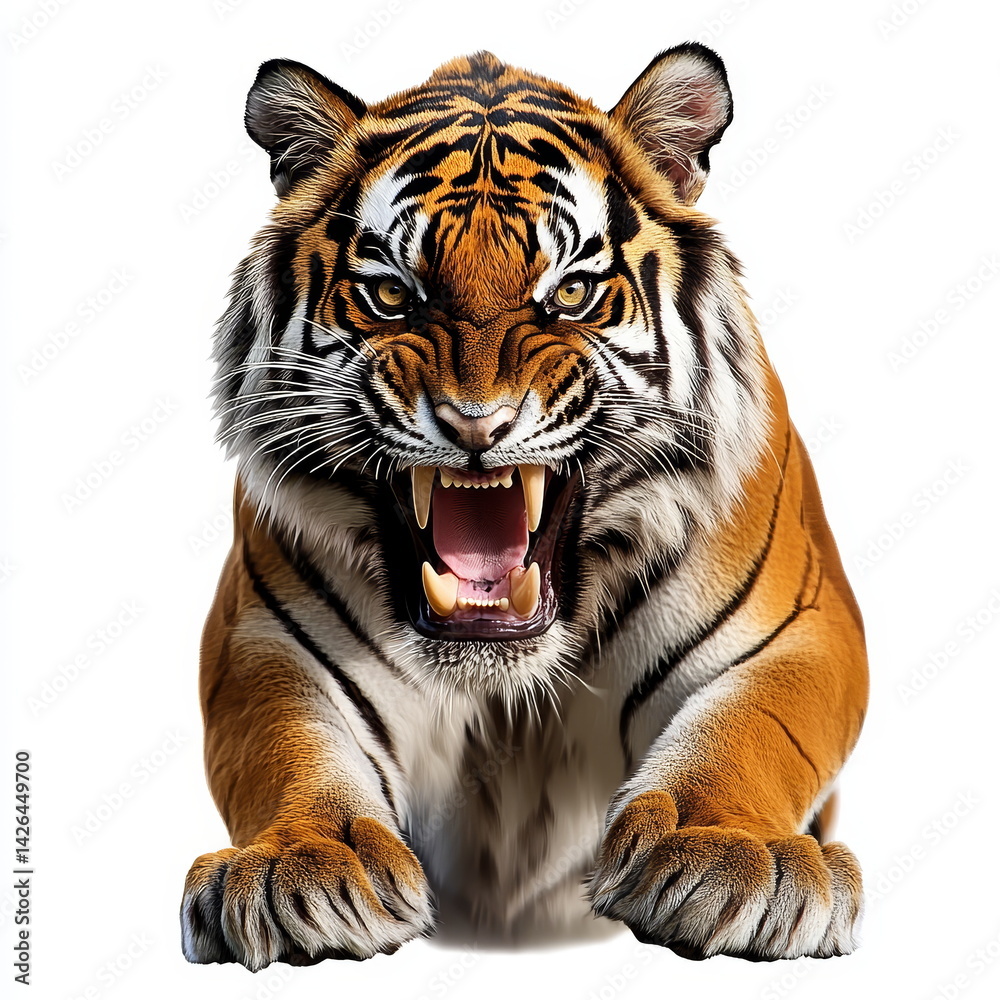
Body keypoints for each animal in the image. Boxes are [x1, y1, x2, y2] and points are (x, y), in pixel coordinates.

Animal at [180, 43, 869, 968]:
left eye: (570, 294)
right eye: (394, 296)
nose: (477, 422)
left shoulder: (796, 629)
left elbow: (750, 731)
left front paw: (729, 851)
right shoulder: (265, 643)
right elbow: (287, 750)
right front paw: (301, 862)